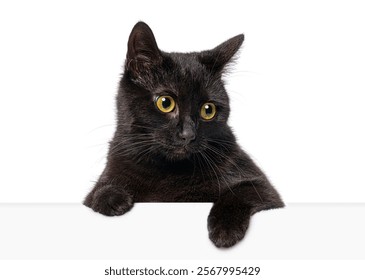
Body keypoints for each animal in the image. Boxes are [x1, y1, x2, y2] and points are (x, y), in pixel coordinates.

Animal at [84, 23, 282, 248]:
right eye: (165, 102)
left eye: (208, 110)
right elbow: (98, 192)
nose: (188, 134)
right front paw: (112, 198)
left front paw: (225, 231)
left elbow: (240, 192)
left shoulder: (264, 188)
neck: (169, 171)